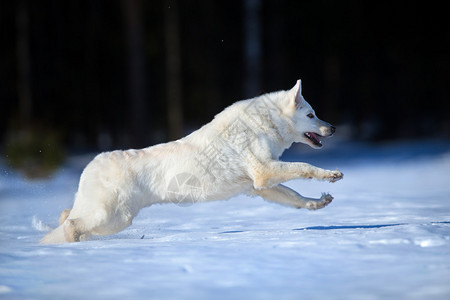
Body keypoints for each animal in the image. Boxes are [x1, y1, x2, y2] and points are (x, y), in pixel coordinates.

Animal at [43, 79, 344, 244]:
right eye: (311, 115)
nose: (333, 128)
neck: (265, 124)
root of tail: (91, 164)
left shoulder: (258, 186)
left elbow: (295, 197)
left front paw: (318, 203)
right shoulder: (264, 172)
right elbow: (304, 168)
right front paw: (331, 175)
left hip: (110, 217)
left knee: (66, 216)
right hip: (115, 217)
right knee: (70, 224)